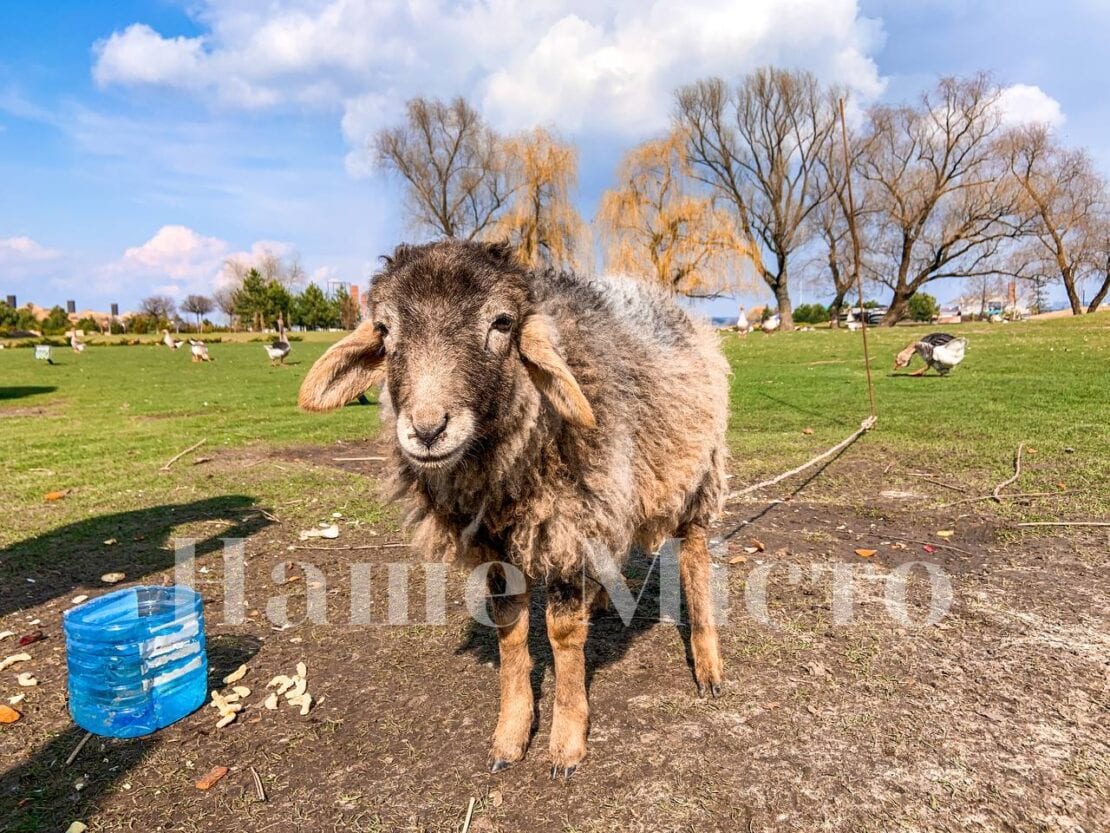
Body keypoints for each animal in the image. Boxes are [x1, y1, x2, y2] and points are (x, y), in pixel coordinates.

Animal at [297, 241, 728, 781]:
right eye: (385, 329)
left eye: (502, 323)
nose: (427, 430)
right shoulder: (499, 544)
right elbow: (510, 631)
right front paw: (510, 734)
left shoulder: (568, 525)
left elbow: (562, 634)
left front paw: (566, 742)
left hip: (698, 473)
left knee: (694, 557)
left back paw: (708, 665)